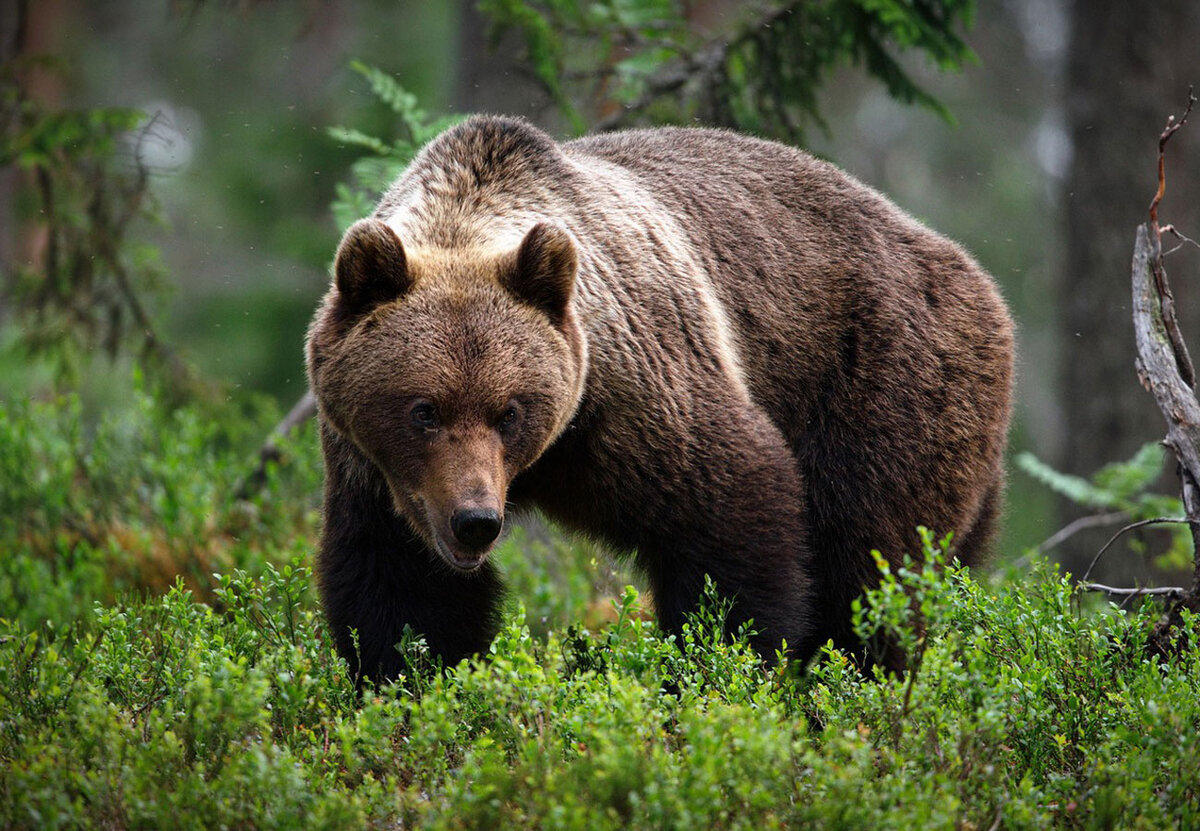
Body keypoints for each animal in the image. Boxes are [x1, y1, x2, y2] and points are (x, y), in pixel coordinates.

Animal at [302, 113, 1012, 682]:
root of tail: (972, 272)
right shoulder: (374, 472)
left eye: (510, 410)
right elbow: (402, 591)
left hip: (880, 383)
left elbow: (730, 516)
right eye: (423, 409)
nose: (475, 520)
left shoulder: (638, 391)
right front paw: (411, 681)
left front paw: (717, 668)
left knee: (870, 569)